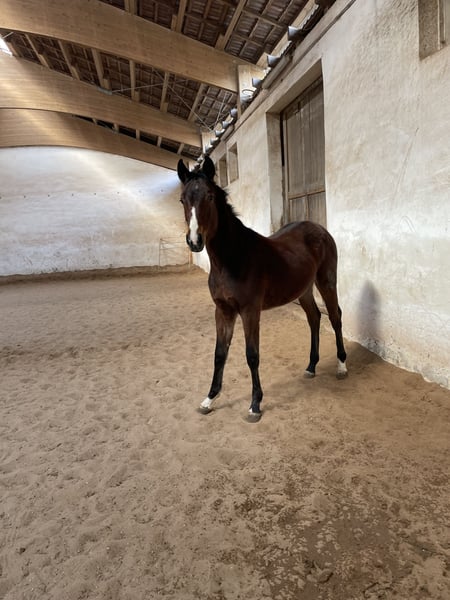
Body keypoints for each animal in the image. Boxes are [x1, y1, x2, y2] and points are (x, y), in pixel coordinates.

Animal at [177, 156, 347, 422]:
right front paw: (209, 399)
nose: (195, 241)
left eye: (210, 196)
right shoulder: (223, 311)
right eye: (182, 199)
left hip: (326, 281)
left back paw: (341, 366)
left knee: (335, 317)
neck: (233, 258)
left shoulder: (249, 311)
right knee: (314, 318)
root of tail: (320, 229)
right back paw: (311, 367)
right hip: (304, 290)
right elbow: (219, 354)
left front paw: (255, 405)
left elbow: (252, 355)